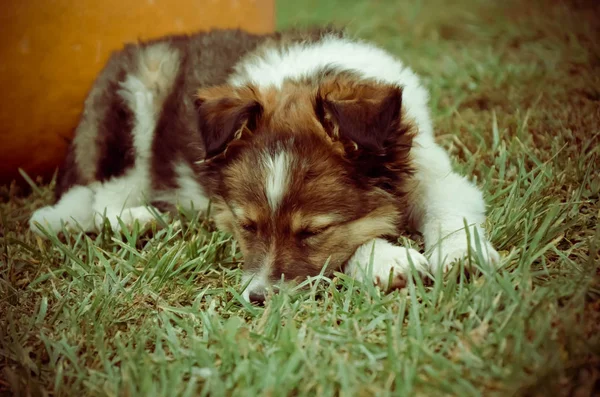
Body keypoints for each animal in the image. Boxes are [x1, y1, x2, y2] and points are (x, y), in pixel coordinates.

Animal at [30, 27, 502, 302]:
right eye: (248, 225)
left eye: (312, 231)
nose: (257, 298)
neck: (306, 77)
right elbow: (354, 244)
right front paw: (389, 260)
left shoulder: (431, 169)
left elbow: (451, 209)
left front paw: (463, 256)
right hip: (134, 102)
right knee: (100, 200)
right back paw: (141, 219)